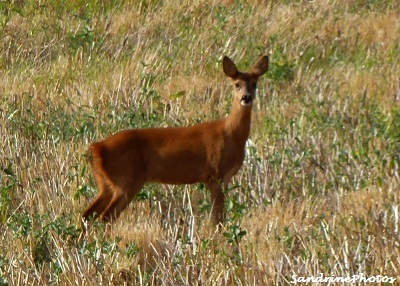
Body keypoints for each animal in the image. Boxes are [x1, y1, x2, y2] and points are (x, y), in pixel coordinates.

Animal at [81, 54, 268, 227]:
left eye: (255, 84)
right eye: (236, 84)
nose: (246, 97)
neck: (230, 134)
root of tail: (96, 148)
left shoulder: (225, 178)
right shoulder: (215, 174)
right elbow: (217, 218)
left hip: (106, 184)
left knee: (87, 215)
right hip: (126, 181)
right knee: (106, 217)